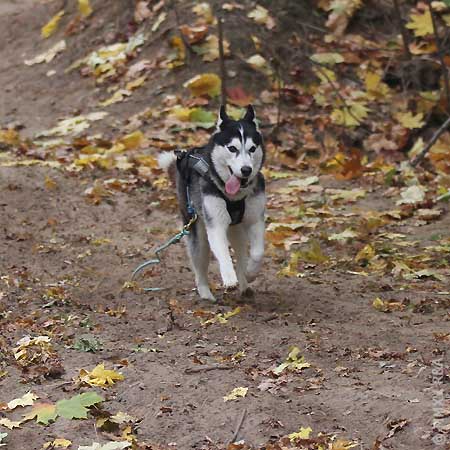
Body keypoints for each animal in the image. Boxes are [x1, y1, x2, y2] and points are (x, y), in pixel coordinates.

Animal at [158, 105, 264, 302]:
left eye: (252, 148)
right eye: (232, 148)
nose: (246, 170)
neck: (234, 196)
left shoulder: (255, 219)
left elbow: (257, 252)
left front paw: (251, 273)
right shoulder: (215, 225)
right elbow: (222, 252)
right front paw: (229, 277)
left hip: (236, 230)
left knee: (240, 250)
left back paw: (244, 282)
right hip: (197, 231)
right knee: (200, 264)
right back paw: (206, 293)